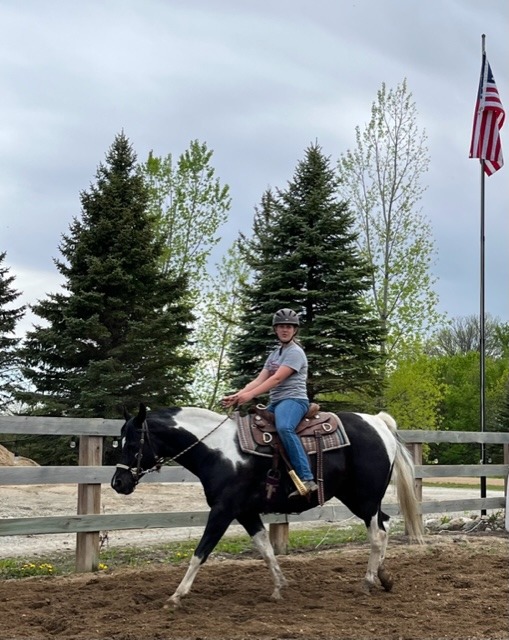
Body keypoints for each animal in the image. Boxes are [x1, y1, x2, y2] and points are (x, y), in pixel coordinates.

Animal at [112, 402, 424, 608]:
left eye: (132, 444)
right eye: (119, 442)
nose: (118, 482)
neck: (219, 450)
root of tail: (379, 422)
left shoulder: (223, 511)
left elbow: (200, 552)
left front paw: (176, 596)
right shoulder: (246, 512)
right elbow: (265, 548)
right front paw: (279, 586)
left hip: (365, 498)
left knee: (377, 534)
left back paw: (368, 582)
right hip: (358, 498)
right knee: (384, 524)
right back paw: (383, 576)